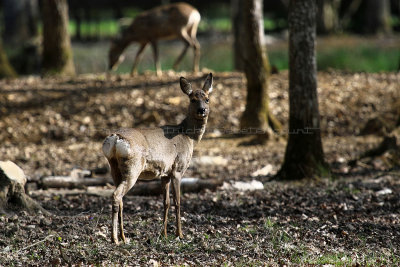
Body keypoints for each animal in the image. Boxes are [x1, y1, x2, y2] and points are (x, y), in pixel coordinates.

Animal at [102, 73, 212, 245]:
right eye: (192, 99)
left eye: (207, 99)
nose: (202, 110)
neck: (189, 136)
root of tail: (115, 139)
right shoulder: (178, 169)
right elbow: (178, 202)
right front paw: (180, 234)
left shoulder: (164, 174)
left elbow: (165, 202)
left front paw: (164, 234)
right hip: (133, 167)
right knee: (116, 195)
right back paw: (115, 238)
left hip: (114, 168)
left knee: (120, 199)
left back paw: (123, 237)